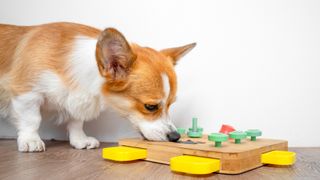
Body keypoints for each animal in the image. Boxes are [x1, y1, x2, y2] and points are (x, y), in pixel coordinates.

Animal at [0, 22, 195, 152]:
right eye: (150, 107)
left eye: (170, 104)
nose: (175, 137)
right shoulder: (26, 93)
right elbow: (32, 119)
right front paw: (31, 140)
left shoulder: (77, 100)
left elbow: (76, 122)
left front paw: (79, 140)